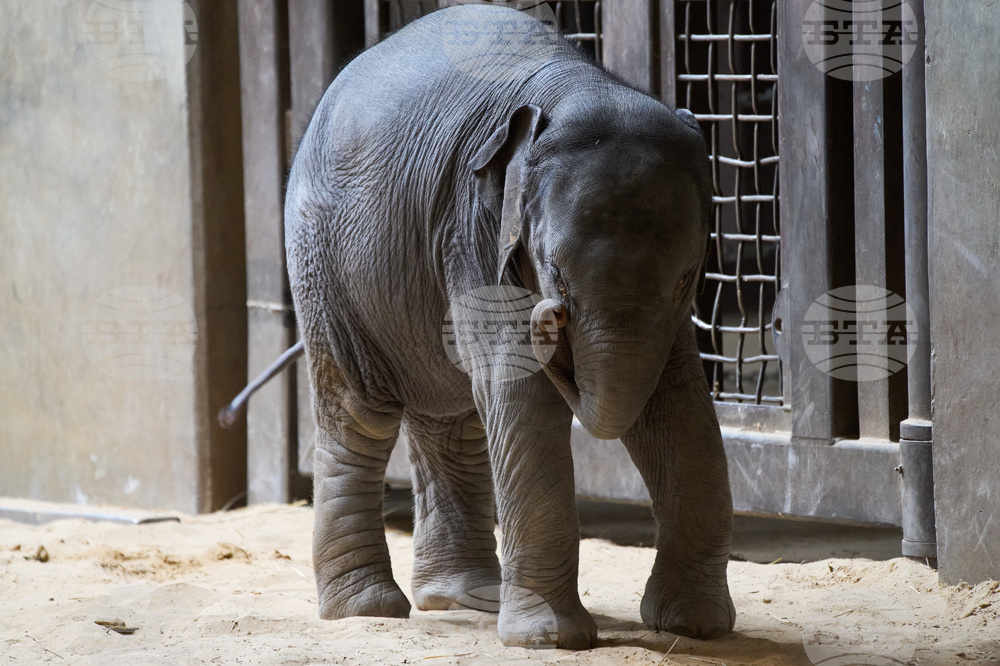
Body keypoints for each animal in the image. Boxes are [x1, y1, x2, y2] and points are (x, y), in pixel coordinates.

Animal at [284, 3, 736, 649]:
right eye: (555, 276)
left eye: (686, 279)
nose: (549, 317)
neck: (577, 87)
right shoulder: (475, 228)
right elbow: (522, 394)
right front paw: (551, 639)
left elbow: (678, 404)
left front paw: (695, 626)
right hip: (324, 263)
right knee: (359, 413)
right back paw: (367, 611)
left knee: (453, 419)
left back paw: (466, 598)